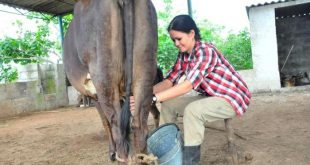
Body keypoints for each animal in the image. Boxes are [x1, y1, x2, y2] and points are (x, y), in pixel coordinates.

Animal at [64, 0, 159, 163]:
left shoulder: (94, 95)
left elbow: (105, 122)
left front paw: (111, 152)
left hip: (104, 80)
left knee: (118, 129)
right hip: (145, 71)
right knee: (139, 125)